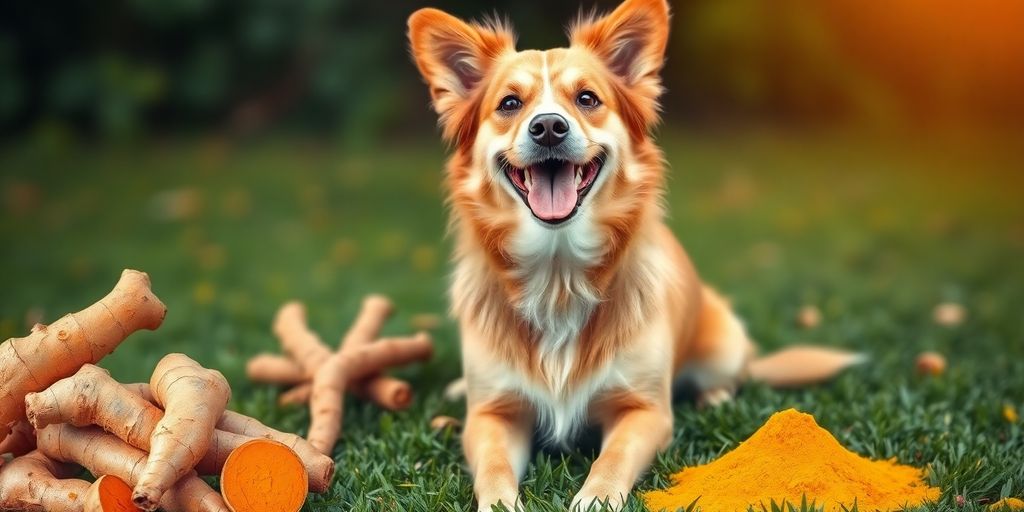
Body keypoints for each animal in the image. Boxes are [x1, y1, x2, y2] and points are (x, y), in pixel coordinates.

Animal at [407, 2, 864, 509]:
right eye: (509, 104)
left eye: (587, 98)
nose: (548, 127)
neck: (558, 273)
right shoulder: (492, 414)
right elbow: (492, 468)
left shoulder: (645, 411)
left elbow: (614, 457)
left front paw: (595, 497)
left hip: (722, 342)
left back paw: (715, 396)